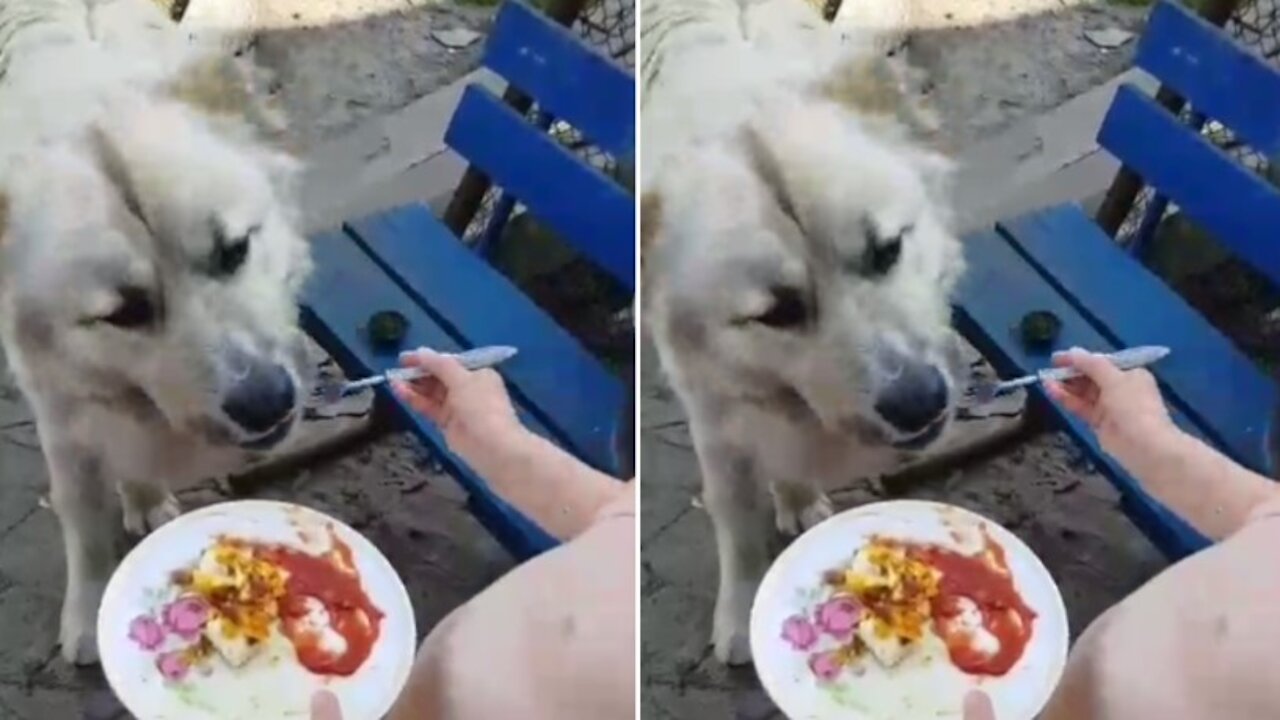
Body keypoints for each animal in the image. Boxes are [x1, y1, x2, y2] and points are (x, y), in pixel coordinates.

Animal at [0, 0, 312, 661]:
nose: (267, 401)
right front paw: (88, 609)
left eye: (234, 250)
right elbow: (82, 516)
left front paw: (143, 501)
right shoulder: (62, 413)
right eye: (125, 312)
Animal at [645, 0, 962, 666]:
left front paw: (796, 500)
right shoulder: (714, 411)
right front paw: (740, 614)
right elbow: (735, 515)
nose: (920, 401)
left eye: (887, 250)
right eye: (778, 311)